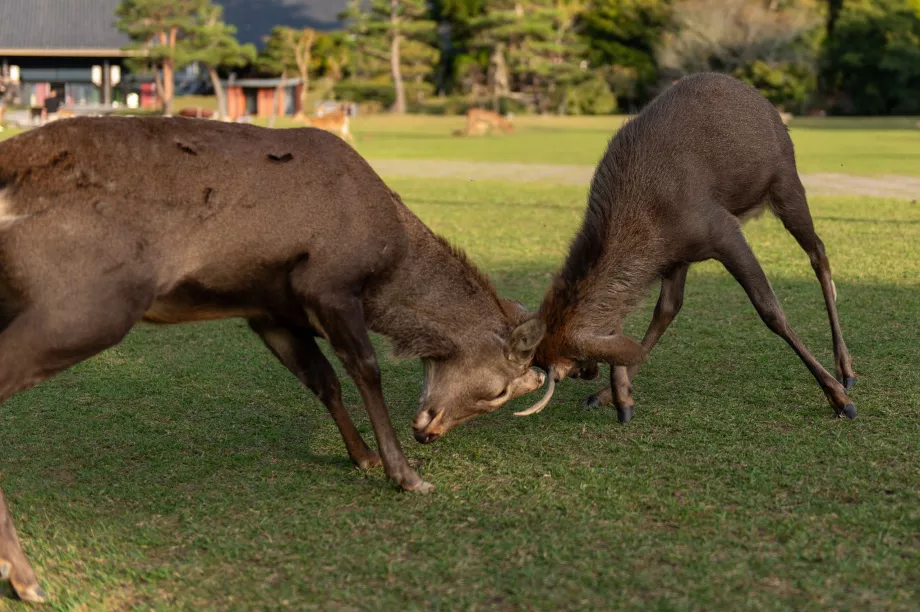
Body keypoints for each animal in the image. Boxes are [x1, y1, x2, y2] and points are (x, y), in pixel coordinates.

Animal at [0, 116, 548, 604]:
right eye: (501, 390)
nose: (429, 433)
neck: (387, 264)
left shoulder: (269, 312)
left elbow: (322, 380)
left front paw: (363, 457)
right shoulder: (330, 283)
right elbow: (365, 369)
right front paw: (406, 475)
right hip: (89, 302)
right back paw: (26, 578)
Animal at [410, 73, 856, 444]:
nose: (426, 431)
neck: (650, 224)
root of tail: (763, 101)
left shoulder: (722, 230)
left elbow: (770, 310)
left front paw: (836, 398)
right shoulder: (675, 258)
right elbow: (661, 313)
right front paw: (615, 394)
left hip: (786, 180)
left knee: (818, 253)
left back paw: (846, 372)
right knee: (671, 307)